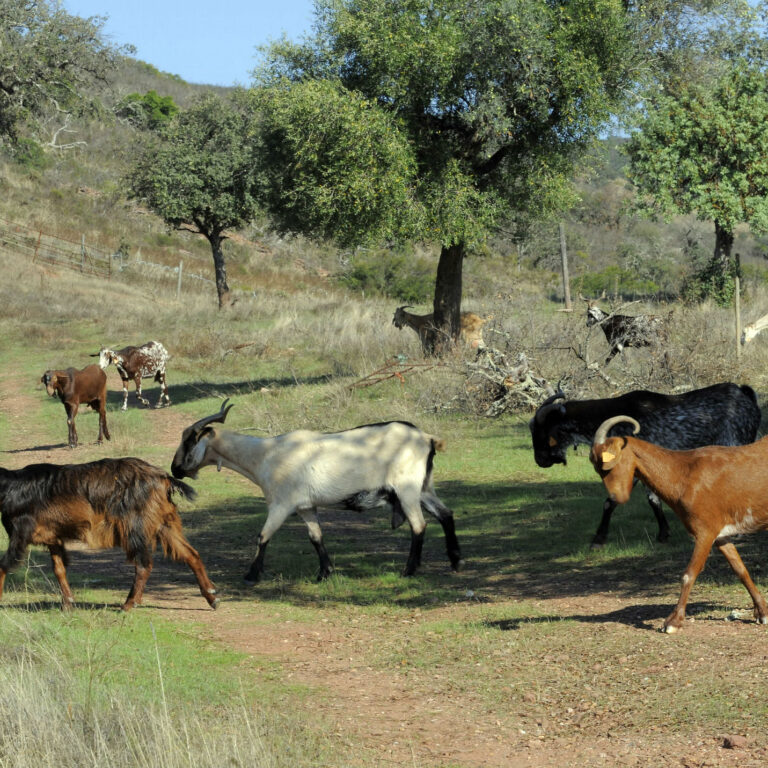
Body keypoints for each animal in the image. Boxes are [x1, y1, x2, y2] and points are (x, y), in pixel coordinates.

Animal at [0, 456, 219, 612]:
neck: (11, 487)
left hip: (134, 526)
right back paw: (212, 596)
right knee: (191, 554)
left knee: (144, 564)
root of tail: (163, 478)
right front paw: (68, 603)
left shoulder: (20, 534)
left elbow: (3, 565)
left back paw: (129, 604)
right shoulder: (54, 537)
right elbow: (59, 569)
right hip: (164, 523)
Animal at [172, 402, 462, 584]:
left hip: (407, 488)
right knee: (446, 514)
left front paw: (251, 575)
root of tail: (426, 438)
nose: (175, 469)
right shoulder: (305, 507)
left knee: (419, 525)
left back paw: (409, 571)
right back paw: (455, 561)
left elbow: (263, 536)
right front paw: (324, 574)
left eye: (189, 441)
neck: (265, 454)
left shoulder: (281, 504)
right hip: (424, 487)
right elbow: (316, 537)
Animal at [528, 380, 760, 548]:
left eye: (540, 430)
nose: (540, 461)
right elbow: (653, 500)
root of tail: (745, 394)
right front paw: (663, 533)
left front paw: (599, 538)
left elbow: (612, 500)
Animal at [592, 416, 768, 632]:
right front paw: (762, 612)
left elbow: (689, 574)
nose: (616, 497)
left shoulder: (704, 531)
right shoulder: (720, 534)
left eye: (608, 464)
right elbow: (740, 570)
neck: (682, 473)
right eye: (596, 467)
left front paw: (673, 622)